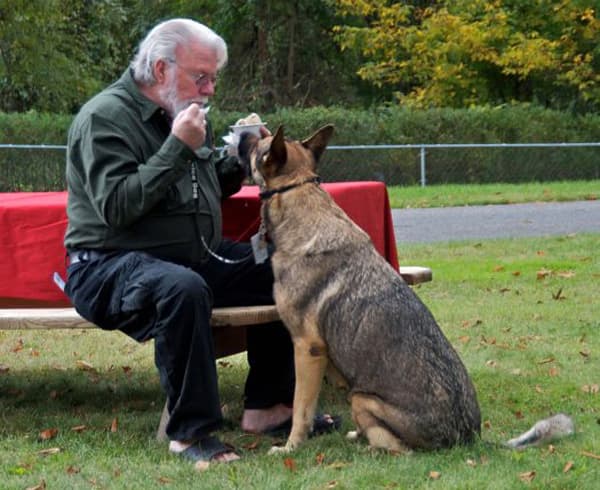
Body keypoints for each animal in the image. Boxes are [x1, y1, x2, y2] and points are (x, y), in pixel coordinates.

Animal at [237, 124, 576, 454]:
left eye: (260, 145)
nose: (243, 133)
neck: (300, 200)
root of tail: (469, 438)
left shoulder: (308, 350)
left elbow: (300, 410)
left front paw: (290, 447)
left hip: (362, 398)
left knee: (401, 449)